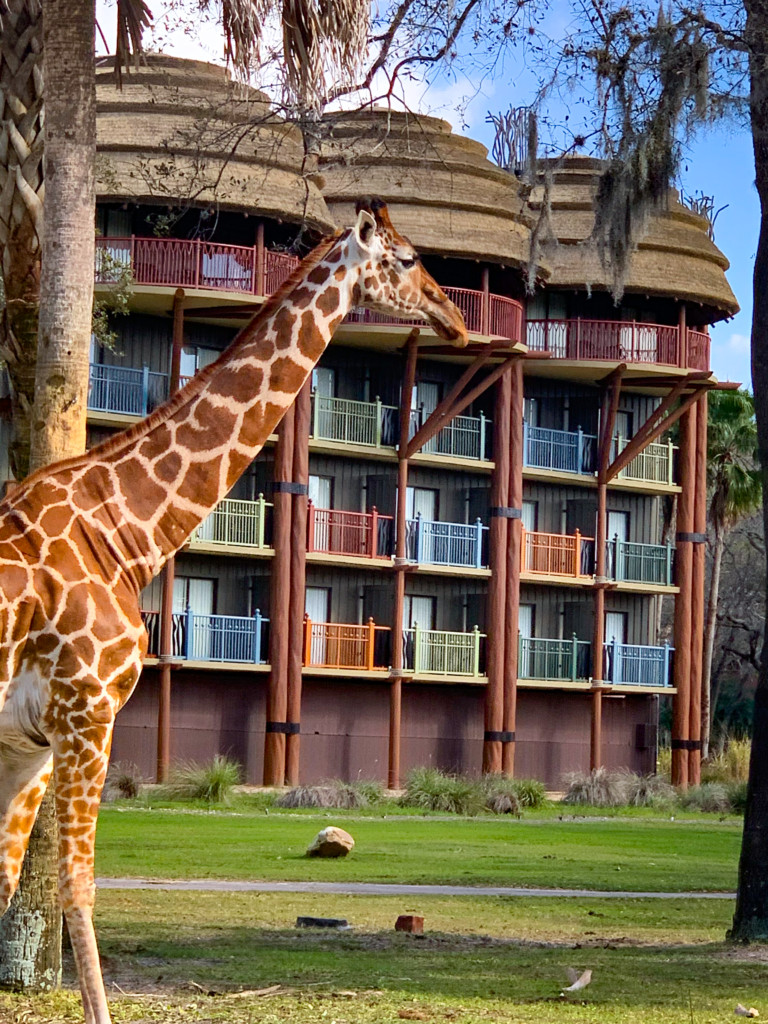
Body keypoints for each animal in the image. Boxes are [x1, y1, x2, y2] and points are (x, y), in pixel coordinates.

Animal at [0, 199, 467, 1023]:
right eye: (409, 260)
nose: (457, 319)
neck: (124, 529)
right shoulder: (87, 714)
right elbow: (78, 890)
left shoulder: (31, 742)